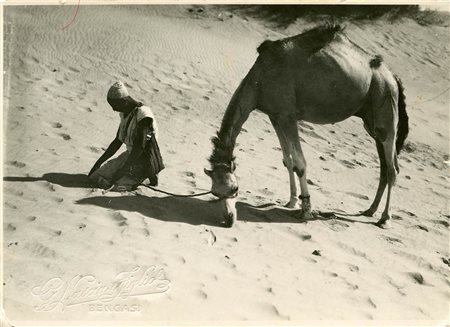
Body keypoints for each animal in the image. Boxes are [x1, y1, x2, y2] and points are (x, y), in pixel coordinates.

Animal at [204, 24, 408, 229]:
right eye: (214, 192)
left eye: (235, 188)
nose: (229, 219)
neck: (259, 80)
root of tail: (393, 77)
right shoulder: (275, 116)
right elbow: (288, 160)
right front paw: (292, 201)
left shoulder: (288, 116)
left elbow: (300, 163)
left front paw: (306, 210)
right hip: (371, 123)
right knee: (384, 166)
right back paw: (370, 210)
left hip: (386, 109)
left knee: (392, 169)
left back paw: (385, 219)